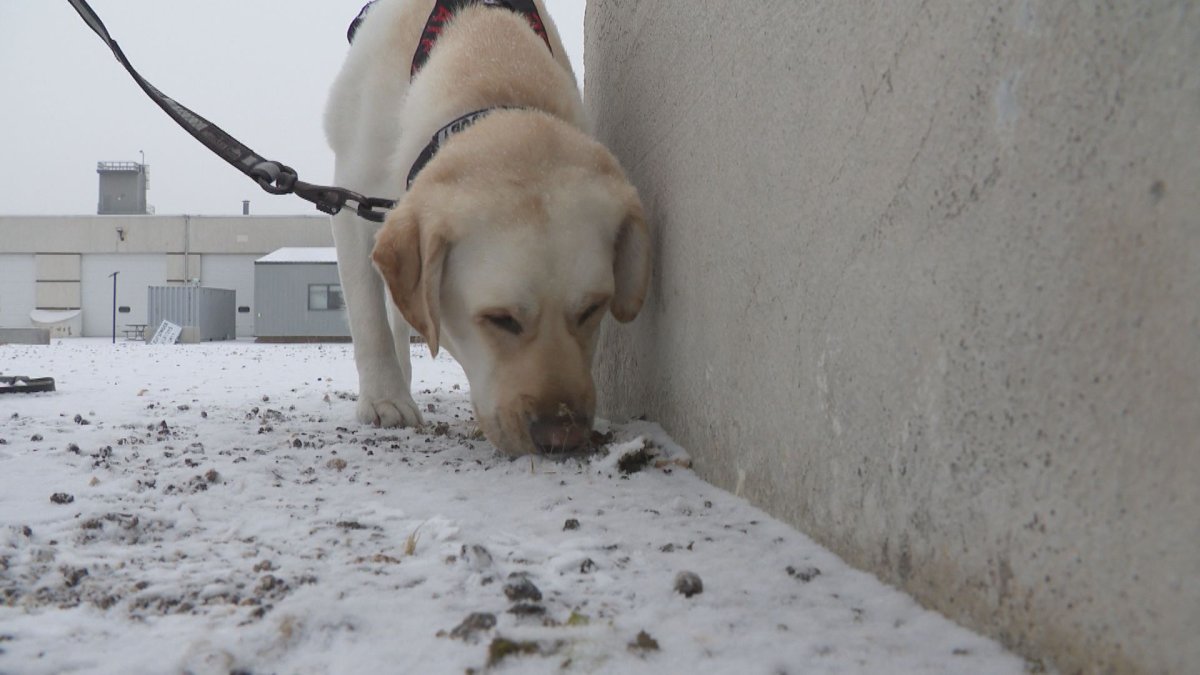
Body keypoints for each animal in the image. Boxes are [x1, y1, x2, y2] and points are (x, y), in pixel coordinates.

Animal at [324, 0, 652, 454]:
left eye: (592, 309)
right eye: (500, 319)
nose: (562, 437)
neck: (491, 60)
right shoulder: (353, 199)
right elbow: (369, 318)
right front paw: (383, 399)